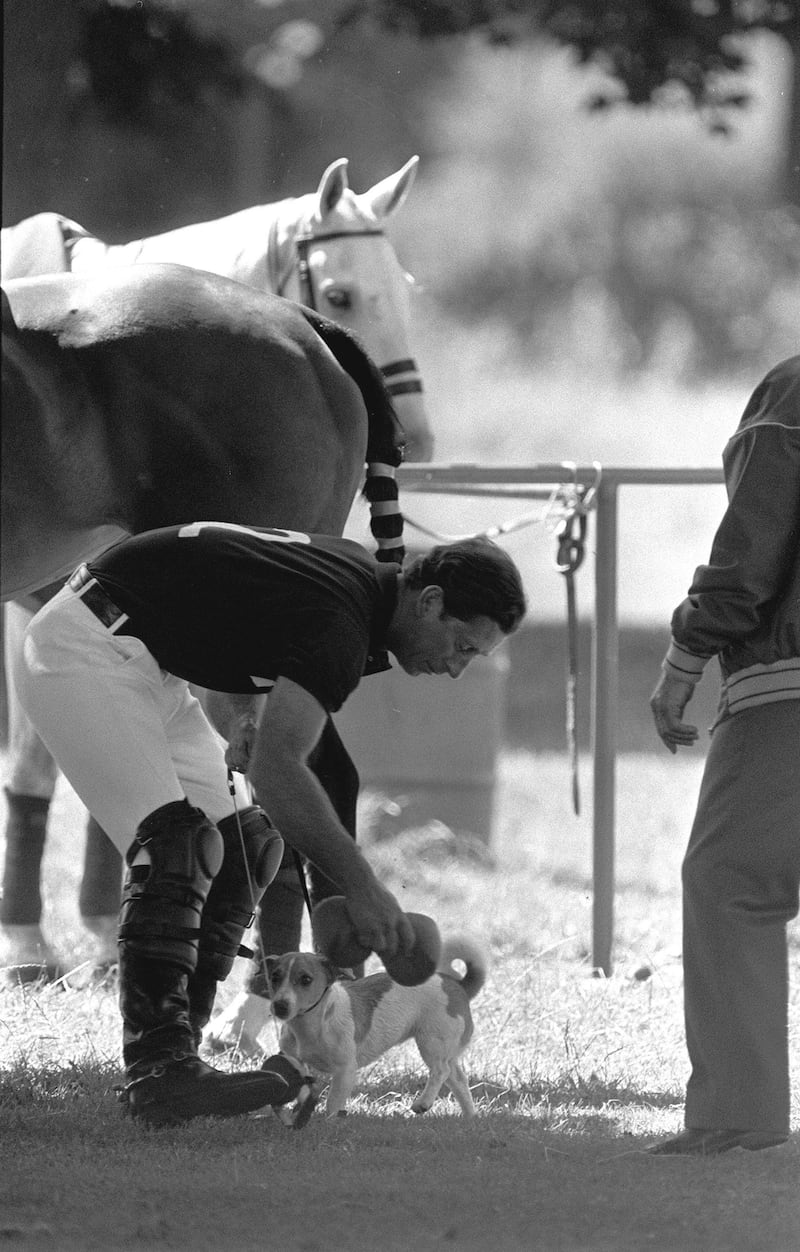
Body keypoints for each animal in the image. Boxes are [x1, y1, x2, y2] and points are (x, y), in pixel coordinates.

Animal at [0, 156, 435, 976]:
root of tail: (299, 329)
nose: (421, 438)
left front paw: (37, 939)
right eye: (343, 290)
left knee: (302, 781)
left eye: (405, 290)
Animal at [264, 936, 488, 1121]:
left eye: (306, 979)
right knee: (458, 1078)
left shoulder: (345, 1070)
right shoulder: (294, 1058)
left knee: (440, 1071)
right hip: (446, 1048)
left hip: (432, 1042)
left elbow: (333, 1102)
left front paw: (330, 1122)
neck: (311, 1025)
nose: (280, 1006)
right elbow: (302, 1084)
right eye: (274, 977)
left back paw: (423, 1103)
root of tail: (457, 984)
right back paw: (469, 1116)